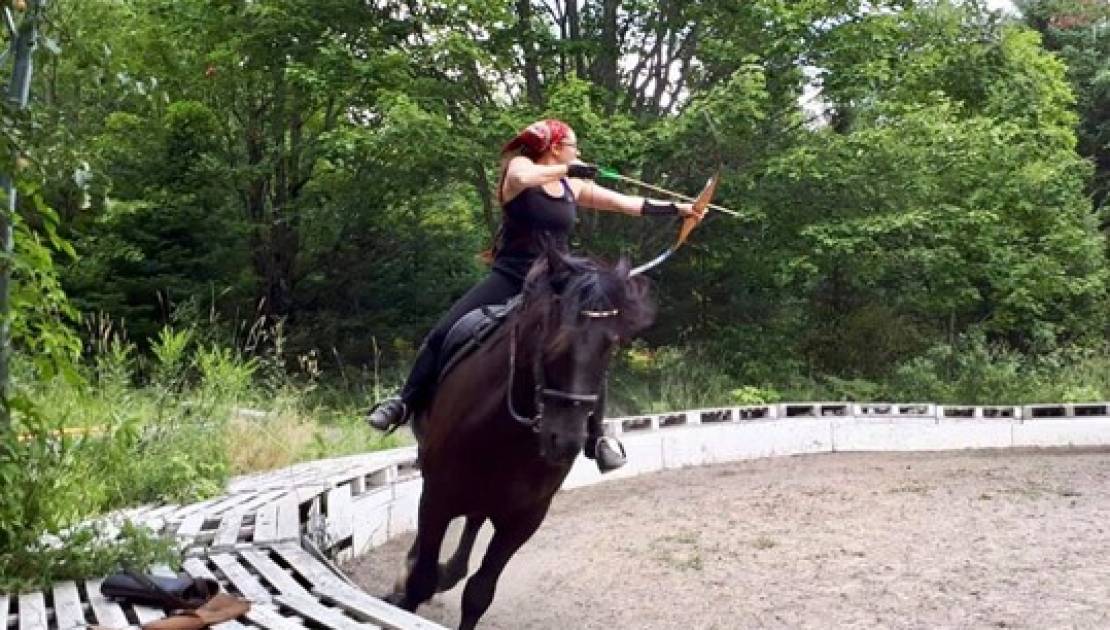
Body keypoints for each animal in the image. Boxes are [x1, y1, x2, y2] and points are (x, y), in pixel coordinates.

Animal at [386, 248, 652, 625]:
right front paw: (404, 591)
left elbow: (479, 594)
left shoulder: (525, 518)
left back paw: (451, 569)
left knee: (473, 523)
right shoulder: (437, 498)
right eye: (555, 341)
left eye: (610, 346)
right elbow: (420, 581)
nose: (565, 441)